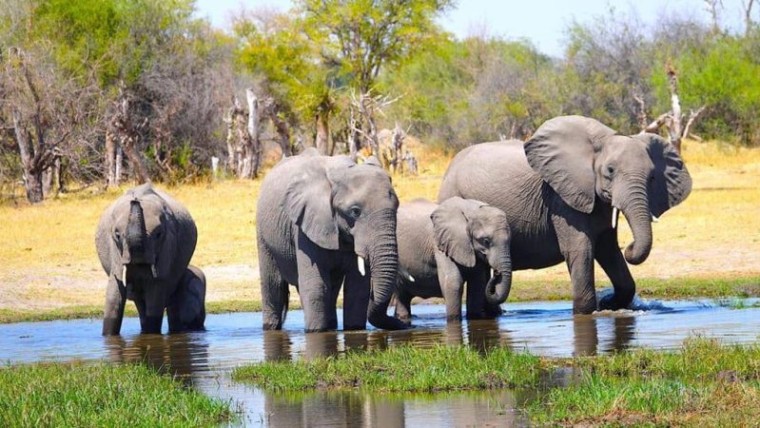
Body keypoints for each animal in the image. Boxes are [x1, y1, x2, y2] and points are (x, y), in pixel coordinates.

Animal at [94, 183, 205, 334]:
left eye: (158, 234)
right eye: (117, 235)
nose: (135, 200)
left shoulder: (168, 244)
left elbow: (155, 291)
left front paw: (151, 335)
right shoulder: (114, 251)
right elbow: (114, 292)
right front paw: (108, 336)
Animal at [256, 149, 410, 332]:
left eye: (397, 207)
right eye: (355, 211)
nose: (405, 325)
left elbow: (357, 288)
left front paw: (354, 328)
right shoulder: (306, 226)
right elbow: (316, 286)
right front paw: (315, 332)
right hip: (263, 233)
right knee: (273, 284)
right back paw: (271, 327)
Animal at [436, 115, 692, 312]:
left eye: (652, 177)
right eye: (610, 171)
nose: (630, 247)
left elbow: (608, 249)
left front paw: (609, 303)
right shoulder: (562, 198)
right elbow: (581, 249)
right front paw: (589, 310)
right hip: (452, 193)